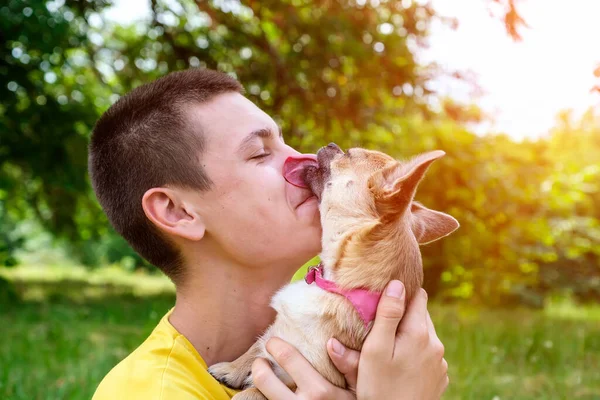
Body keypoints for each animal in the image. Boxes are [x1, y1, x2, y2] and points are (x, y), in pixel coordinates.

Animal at [209, 145, 458, 400]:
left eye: (347, 154)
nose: (331, 145)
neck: (332, 285)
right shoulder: (278, 330)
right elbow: (260, 342)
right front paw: (231, 368)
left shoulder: (306, 379)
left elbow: (258, 390)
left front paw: (246, 389)